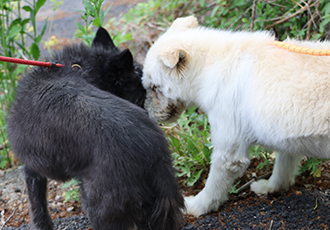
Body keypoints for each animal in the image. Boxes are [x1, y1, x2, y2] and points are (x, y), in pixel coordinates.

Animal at [7, 27, 183, 230]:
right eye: (141, 98)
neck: (78, 68)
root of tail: (154, 153)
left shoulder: (32, 171)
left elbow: (39, 210)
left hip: (99, 207)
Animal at [142, 15, 330, 217]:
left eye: (154, 87)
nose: (146, 111)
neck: (208, 65)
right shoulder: (284, 133)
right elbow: (283, 167)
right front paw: (272, 187)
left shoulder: (228, 151)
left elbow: (213, 185)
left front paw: (197, 206)